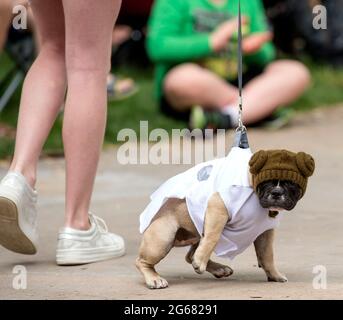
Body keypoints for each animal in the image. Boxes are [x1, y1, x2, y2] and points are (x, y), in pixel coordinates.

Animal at [136, 149, 316, 288]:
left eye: (290, 184)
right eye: (266, 182)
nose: (277, 192)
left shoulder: (264, 231)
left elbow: (267, 255)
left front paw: (274, 275)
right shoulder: (218, 206)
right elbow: (213, 236)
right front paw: (201, 260)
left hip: (194, 232)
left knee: (190, 255)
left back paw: (218, 268)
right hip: (163, 237)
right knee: (142, 262)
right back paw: (155, 279)